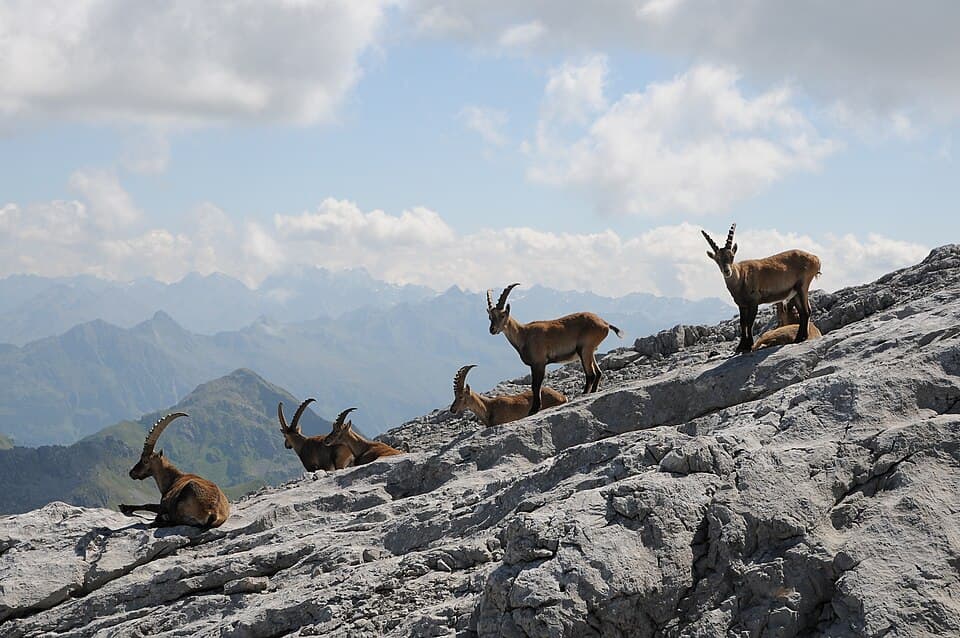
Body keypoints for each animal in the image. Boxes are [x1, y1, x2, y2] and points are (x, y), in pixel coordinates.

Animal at [487, 283, 622, 415]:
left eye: (502, 315)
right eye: (490, 316)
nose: (492, 330)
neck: (524, 335)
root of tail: (605, 324)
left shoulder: (540, 363)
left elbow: (536, 386)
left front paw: (534, 409)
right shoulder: (534, 365)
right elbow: (535, 385)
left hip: (585, 349)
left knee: (591, 374)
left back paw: (584, 394)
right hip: (589, 351)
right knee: (598, 373)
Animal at [702, 224, 821, 354]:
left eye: (732, 256)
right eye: (717, 259)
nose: (727, 271)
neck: (741, 276)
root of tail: (816, 258)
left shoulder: (754, 301)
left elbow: (749, 323)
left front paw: (748, 346)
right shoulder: (742, 305)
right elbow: (742, 323)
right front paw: (740, 347)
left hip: (803, 285)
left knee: (807, 310)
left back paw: (801, 338)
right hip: (795, 292)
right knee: (803, 312)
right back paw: (799, 338)